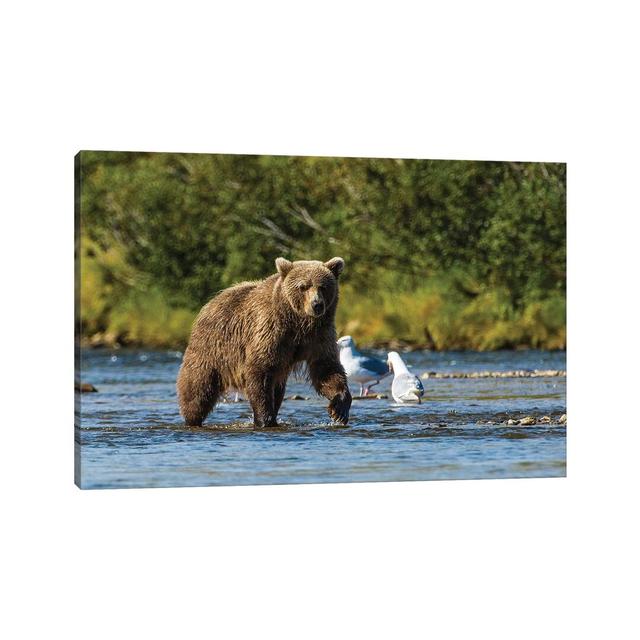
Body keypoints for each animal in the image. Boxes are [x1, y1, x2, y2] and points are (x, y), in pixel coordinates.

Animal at [178, 258, 352, 428]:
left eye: (323, 287)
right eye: (303, 286)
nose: (317, 305)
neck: (298, 322)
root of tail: (211, 302)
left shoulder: (319, 336)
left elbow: (326, 369)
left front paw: (339, 409)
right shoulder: (271, 331)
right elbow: (260, 371)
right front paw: (264, 419)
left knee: (278, 390)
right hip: (212, 347)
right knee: (198, 386)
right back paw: (192, 418)